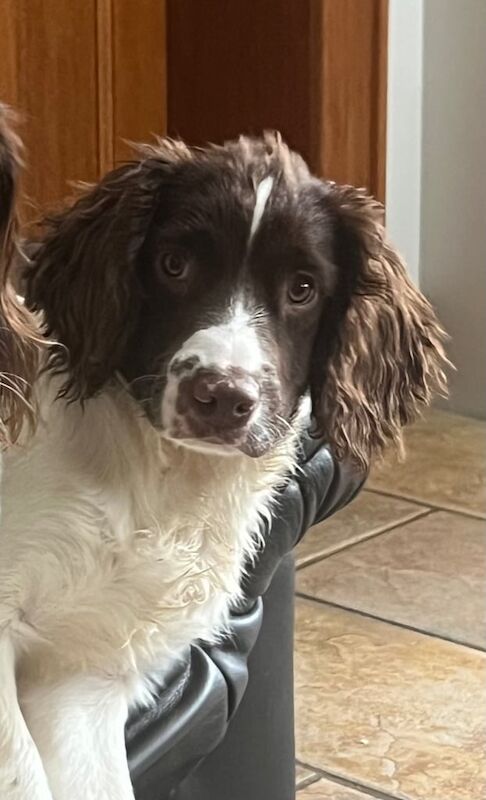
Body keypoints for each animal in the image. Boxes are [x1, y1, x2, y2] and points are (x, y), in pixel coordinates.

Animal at [0, 134, 448, 796]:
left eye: (302, 289)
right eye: (173, 265)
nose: (221, 398)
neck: (161, 481)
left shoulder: (83, 676)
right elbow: (25, 775)